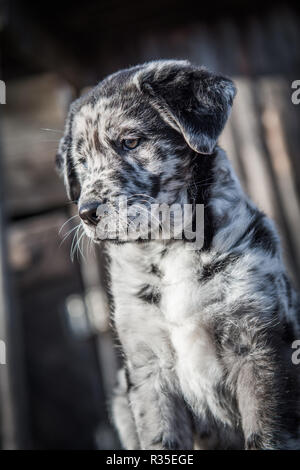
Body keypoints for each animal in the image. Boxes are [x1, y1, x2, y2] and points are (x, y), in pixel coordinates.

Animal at [56, 60, 300, 450]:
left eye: (130, 141)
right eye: (81, 161)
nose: (87, 213)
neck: (171, 247)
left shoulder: (258, 346)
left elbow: (267, 435)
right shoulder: (146, 365)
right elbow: (159, 438)